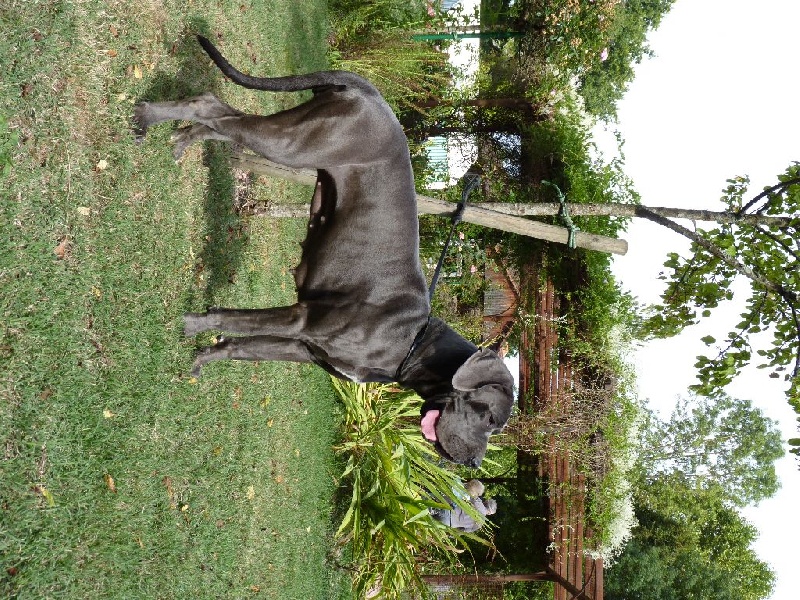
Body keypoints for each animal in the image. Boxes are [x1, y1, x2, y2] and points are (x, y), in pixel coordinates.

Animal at [133, 36, 512, 468]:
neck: (411, 341)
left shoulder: (303, 348)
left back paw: (182, 139)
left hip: (293, 134)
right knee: (214, 109)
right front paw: (189, 324)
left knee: (221, 120)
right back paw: (148, 117)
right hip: (294, 144)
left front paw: (202, 359)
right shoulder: (303, 319)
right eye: (489, 416)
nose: (473, 464)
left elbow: (239, 346)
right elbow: (231, 319)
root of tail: (370, 90)